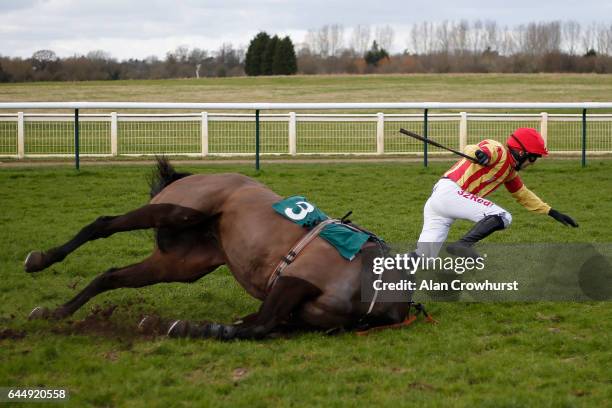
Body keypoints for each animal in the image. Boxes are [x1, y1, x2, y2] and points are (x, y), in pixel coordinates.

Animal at [23, 158, 412, 340]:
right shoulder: (294, 281)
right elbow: (258, 326)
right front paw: (183, 327)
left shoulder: (297, 318)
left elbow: (252, 326)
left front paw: (180, 326)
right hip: (178, 210)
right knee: (103, 224)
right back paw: (41, 259)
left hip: (181, 264)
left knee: (111, 276)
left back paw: (56, 312)